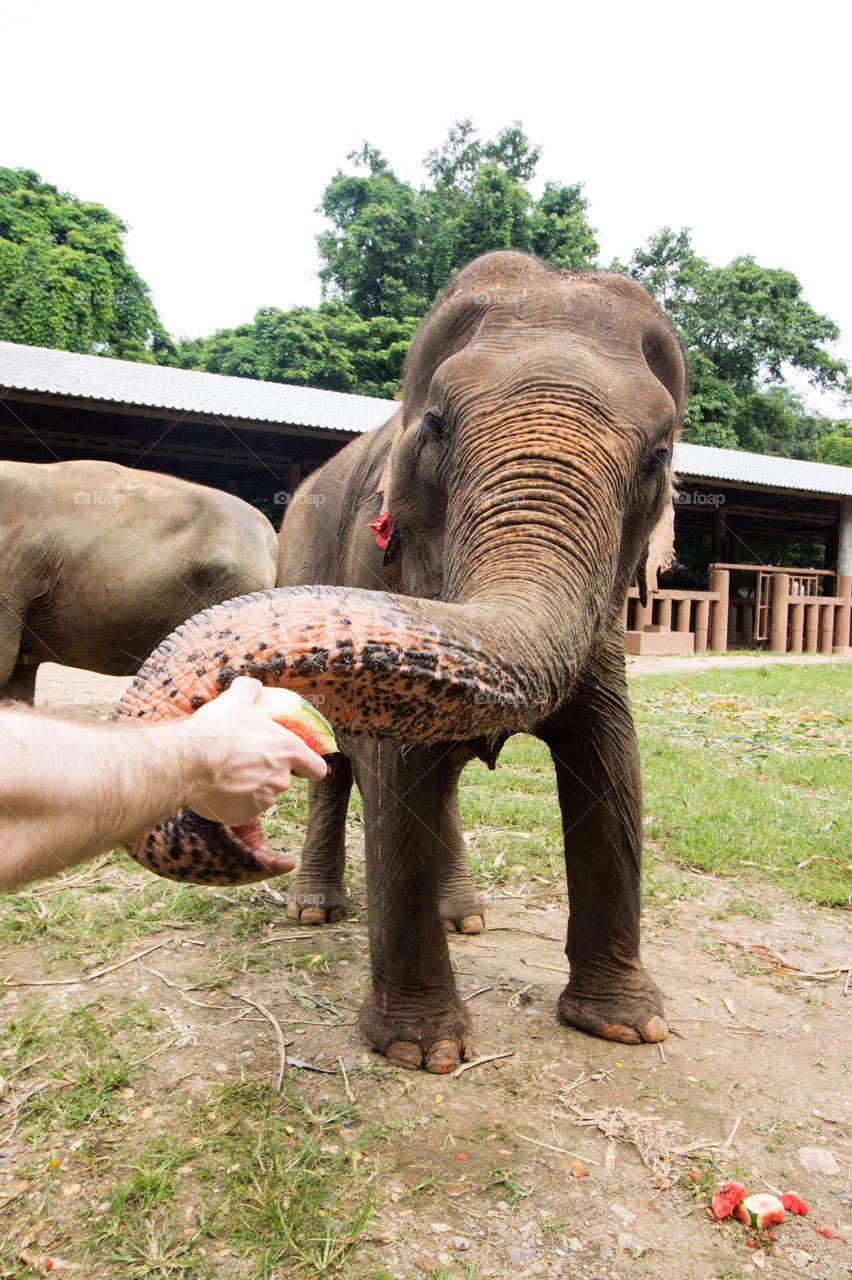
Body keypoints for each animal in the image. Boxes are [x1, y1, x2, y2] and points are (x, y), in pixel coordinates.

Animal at [117, 249, 685, 1070]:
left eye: (659, 456)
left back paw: (464, 917)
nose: (252, 845)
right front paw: (426, 1052)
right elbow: (396, 772)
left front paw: (627, 1028)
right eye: (439, 424)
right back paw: (315, 910)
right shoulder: (378, 572)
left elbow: (610, 760)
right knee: (344, 770)